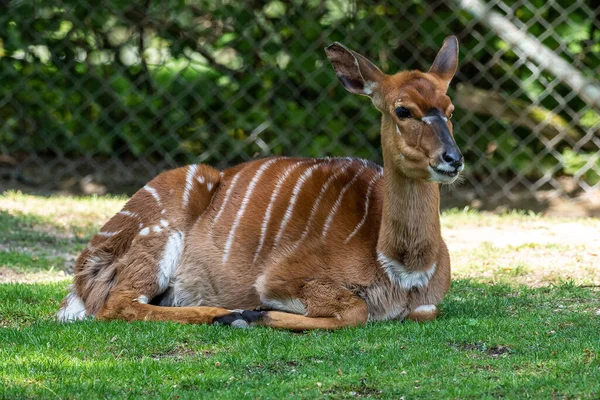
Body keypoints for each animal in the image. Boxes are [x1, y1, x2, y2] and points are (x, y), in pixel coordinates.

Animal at [58, 36, 464, 330]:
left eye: (450, 109)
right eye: (402, 110)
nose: (453, 159)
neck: (402, 269)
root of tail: (85, 266)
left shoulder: (427, 305)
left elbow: (423, 311)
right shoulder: (280, 277)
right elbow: (354, 312)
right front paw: (253, 313)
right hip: (157, 235)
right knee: (118, 304)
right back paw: (226, 315)